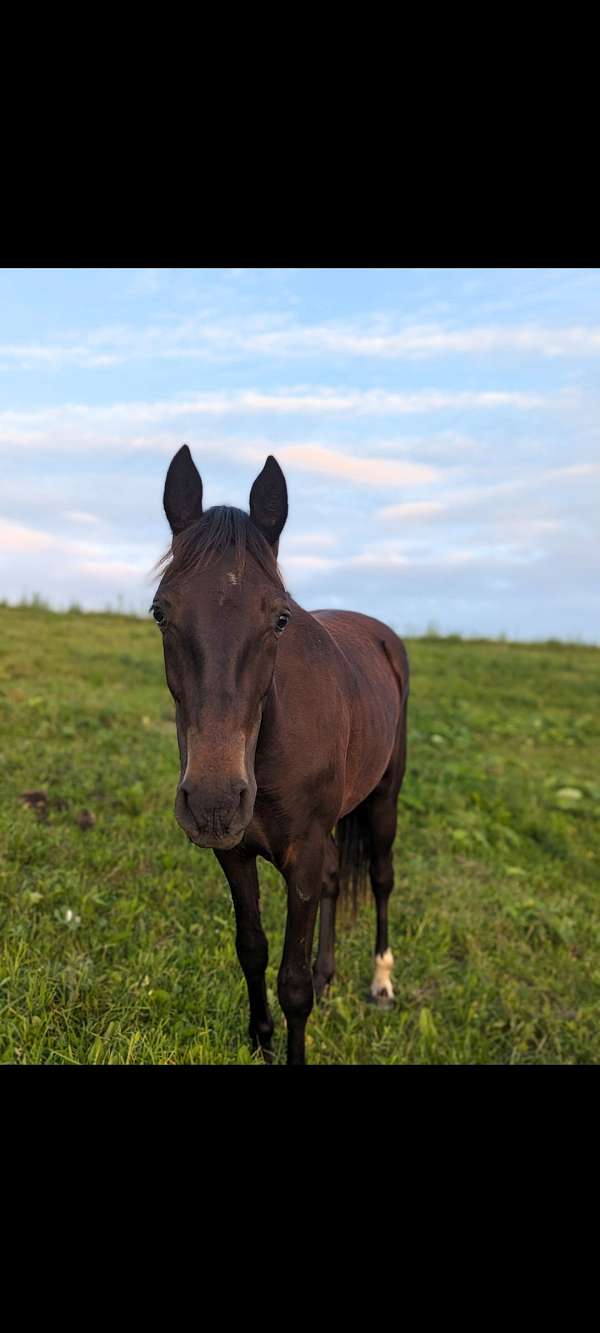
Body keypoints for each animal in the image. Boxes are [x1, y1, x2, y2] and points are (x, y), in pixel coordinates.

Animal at [152, 445, 410, 1061]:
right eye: (160, 613)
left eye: (280, 618)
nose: (216, 802)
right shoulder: (235, 853)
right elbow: (253, 949)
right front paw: (261, 1042)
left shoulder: (303, 856)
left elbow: (291, 985)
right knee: (340, 878)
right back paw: (329, 973)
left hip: (385, 798)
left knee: (382, 877)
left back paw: (381, 982)